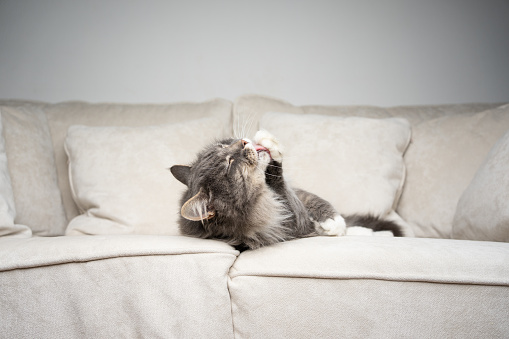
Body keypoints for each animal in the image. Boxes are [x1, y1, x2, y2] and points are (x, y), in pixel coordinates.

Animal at [170, 129, 400, 250]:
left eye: (223, 146)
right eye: (228, 163)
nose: (243, 142)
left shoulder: (298, 195)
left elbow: (317, 202)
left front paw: (334, 222)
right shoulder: (290, 218)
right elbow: (279, 180)